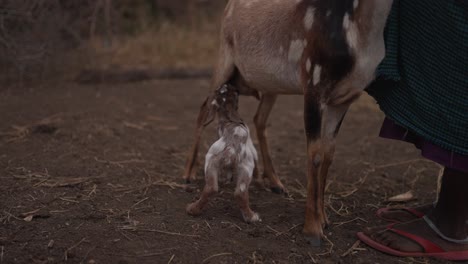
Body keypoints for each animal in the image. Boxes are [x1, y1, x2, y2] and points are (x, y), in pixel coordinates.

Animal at [186, 84, 260, 223]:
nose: (227, 84)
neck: (229, 114)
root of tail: (233, 144)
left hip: (212, 159)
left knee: (212, 187)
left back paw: (193, 209)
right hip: (246, 166)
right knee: (240, 192)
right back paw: (251, 217)